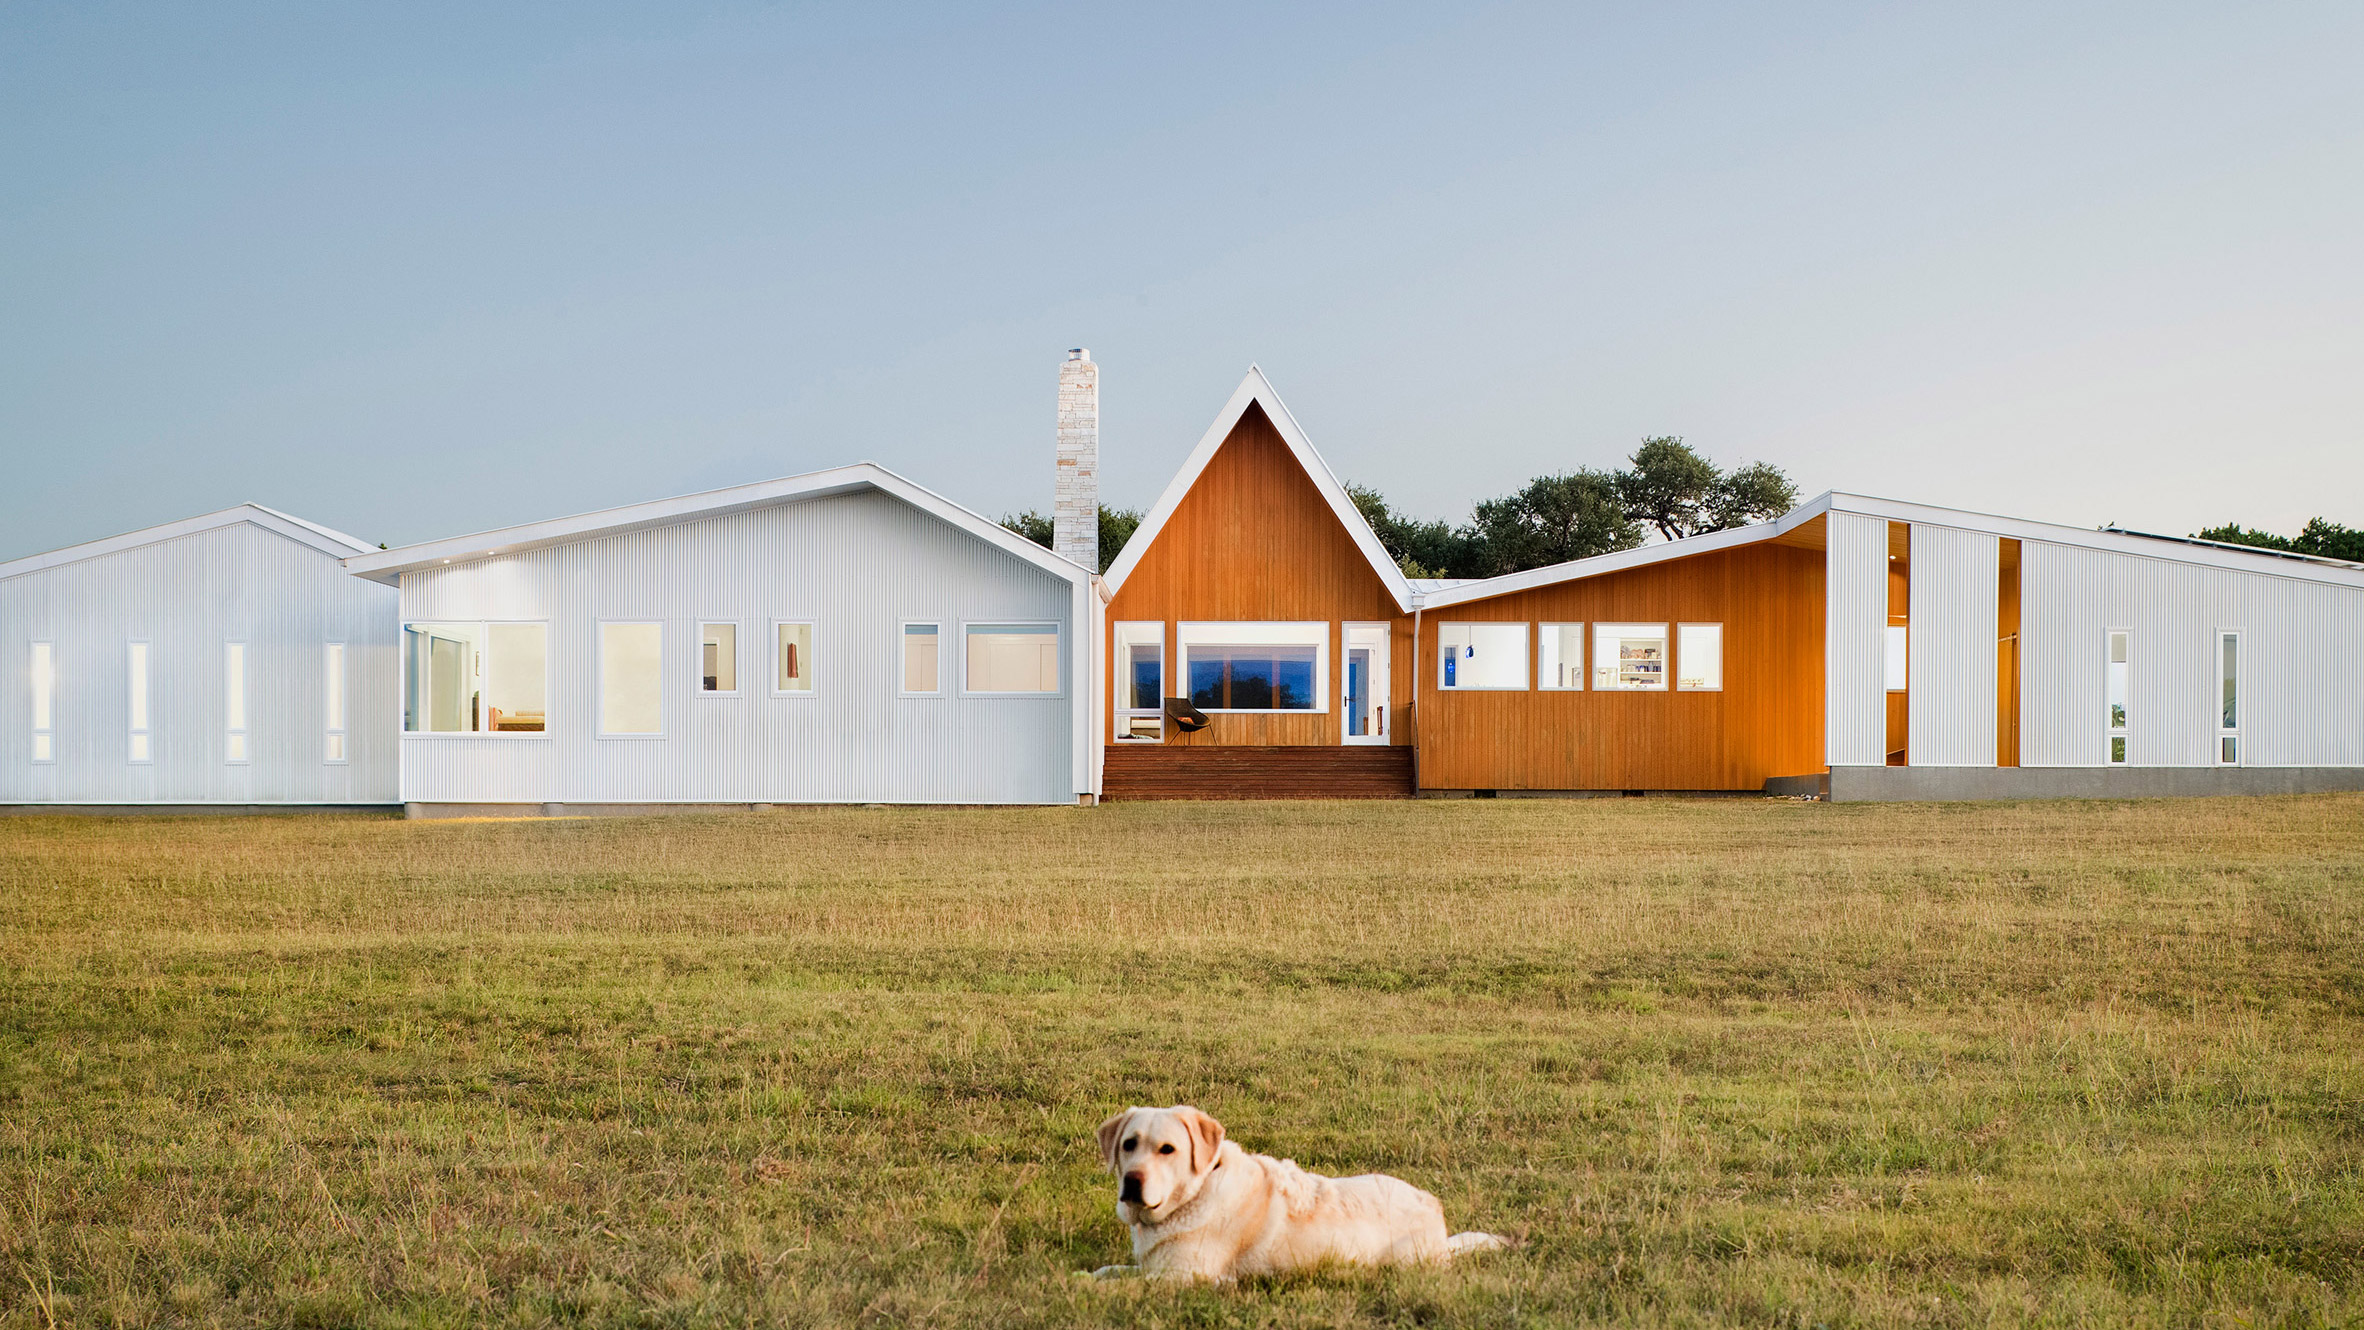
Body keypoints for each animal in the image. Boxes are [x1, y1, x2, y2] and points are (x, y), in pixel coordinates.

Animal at [1082, 1110, 1494, 1285]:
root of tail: (1433, 1208)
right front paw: (1085, 1274)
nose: (1133, 1181)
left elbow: (1121, 1285)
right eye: (1129, 1144)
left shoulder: (1183, 1278)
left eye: (1167, 1149)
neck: (1195, 1194)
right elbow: (1109, 1271)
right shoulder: (1155, 1266)